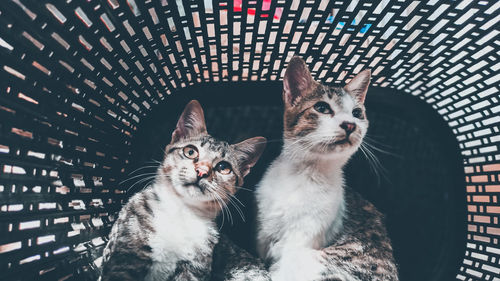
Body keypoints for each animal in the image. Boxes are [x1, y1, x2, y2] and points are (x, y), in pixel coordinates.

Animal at [99, 100, 268, 280]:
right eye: (190, 151)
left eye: (224, 168)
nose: (202, 171)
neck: (181, 211)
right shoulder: (124, 255)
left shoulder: (193, 267)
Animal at [256, 57, 396, 280]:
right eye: (321, 107)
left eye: (357, 113)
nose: (350, 125)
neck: (305, 173)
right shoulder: (264, 229)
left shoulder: (305, 236)